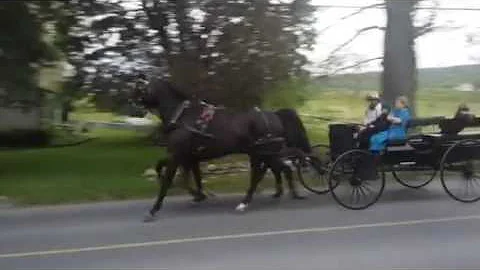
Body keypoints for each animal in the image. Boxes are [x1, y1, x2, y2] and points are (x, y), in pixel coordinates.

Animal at [131, 77, 312, 220]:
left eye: (140, 88)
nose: (133, 105)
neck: (182, 117)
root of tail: (274, 115)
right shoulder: (189, 156)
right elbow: (189, 177)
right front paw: (199, 195)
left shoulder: (177, 154)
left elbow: (170, 180)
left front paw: (153, 210)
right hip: (263, 153)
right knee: (276, 170)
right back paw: (284, 193)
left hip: (264, 152)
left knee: (267, 172)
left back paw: (245, 202)